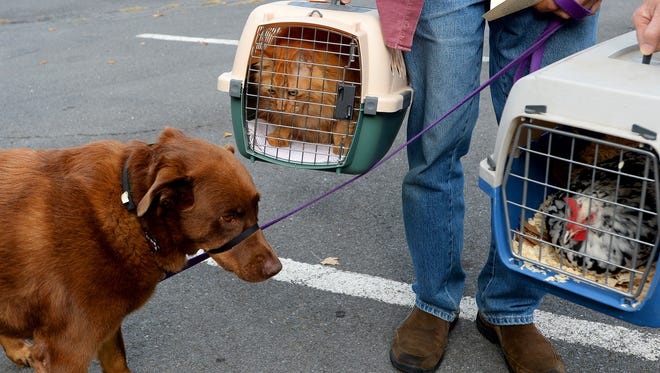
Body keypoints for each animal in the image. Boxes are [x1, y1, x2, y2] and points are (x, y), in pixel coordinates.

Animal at [0, 126, 282, 370]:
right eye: (228, 217)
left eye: (256, 207)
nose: (276, 268)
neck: (132, 211)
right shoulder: (66, 351)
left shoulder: (107, 330)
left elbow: (119, 364)